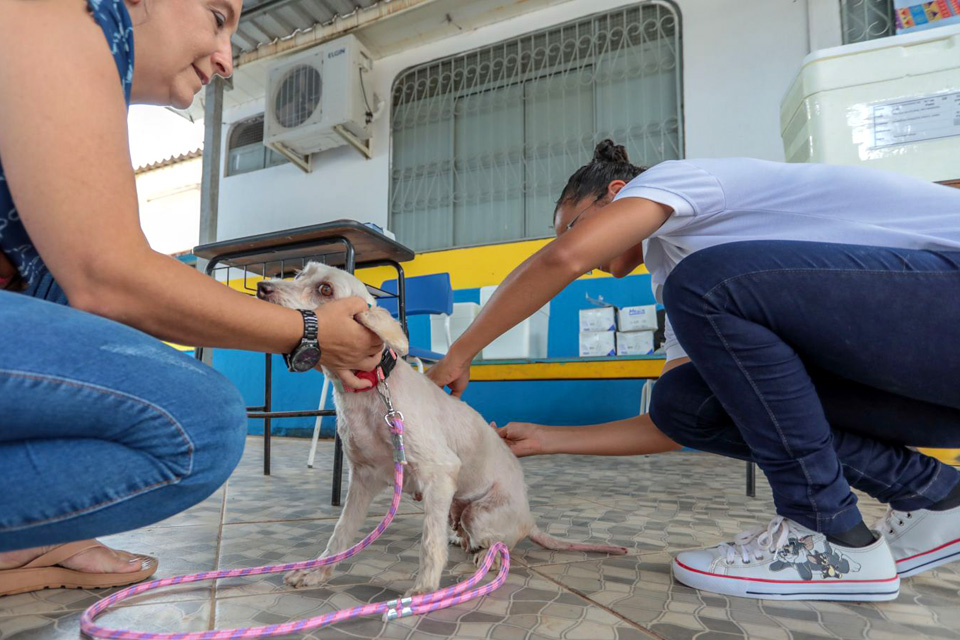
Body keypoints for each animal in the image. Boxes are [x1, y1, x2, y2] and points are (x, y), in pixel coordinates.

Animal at [258, 262, 628, 596]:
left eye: (325, 289)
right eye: (298, 273)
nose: (262, 288)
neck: (370, 392)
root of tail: (529, 519)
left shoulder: (439, 473)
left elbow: (429, 542)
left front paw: (425, 589)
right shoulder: (363, 479)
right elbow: (340, 534)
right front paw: (315, 574)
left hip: (479, 512)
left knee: (498, 544)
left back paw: (485, 558)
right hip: (455, 506)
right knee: (464, 532)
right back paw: (462, 540)